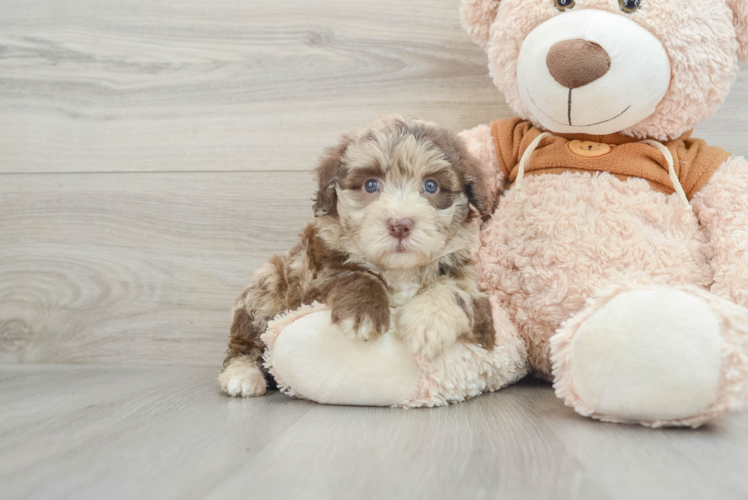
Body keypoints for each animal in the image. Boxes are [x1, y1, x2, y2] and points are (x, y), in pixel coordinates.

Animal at [218, 116, 496, 398]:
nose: (399, 225)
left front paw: (429, 323)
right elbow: (354, 275)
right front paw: (363, 315)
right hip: (268, 285)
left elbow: (453, 290)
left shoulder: (476, 297)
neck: (400, 271)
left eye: (431, 186)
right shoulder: (311, 283)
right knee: (245, 341)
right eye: (370, 185)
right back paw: (242, 376)